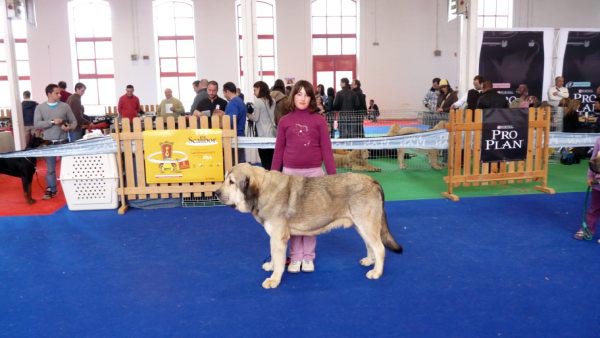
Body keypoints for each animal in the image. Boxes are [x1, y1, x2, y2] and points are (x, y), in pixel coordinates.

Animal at [216, 163, 404, 288]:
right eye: (225, 179)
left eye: (232, 182)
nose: (216, 193)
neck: (263, 190)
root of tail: (372, 181)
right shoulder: (274, 238)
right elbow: (274, 256)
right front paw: (271, 266)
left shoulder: (278, 238)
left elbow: (278, 260)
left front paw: (274, 279)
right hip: (361, 225)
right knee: (370, 245)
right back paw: (369, 261)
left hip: (366, 224)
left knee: (379, 248)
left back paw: (377, 272)